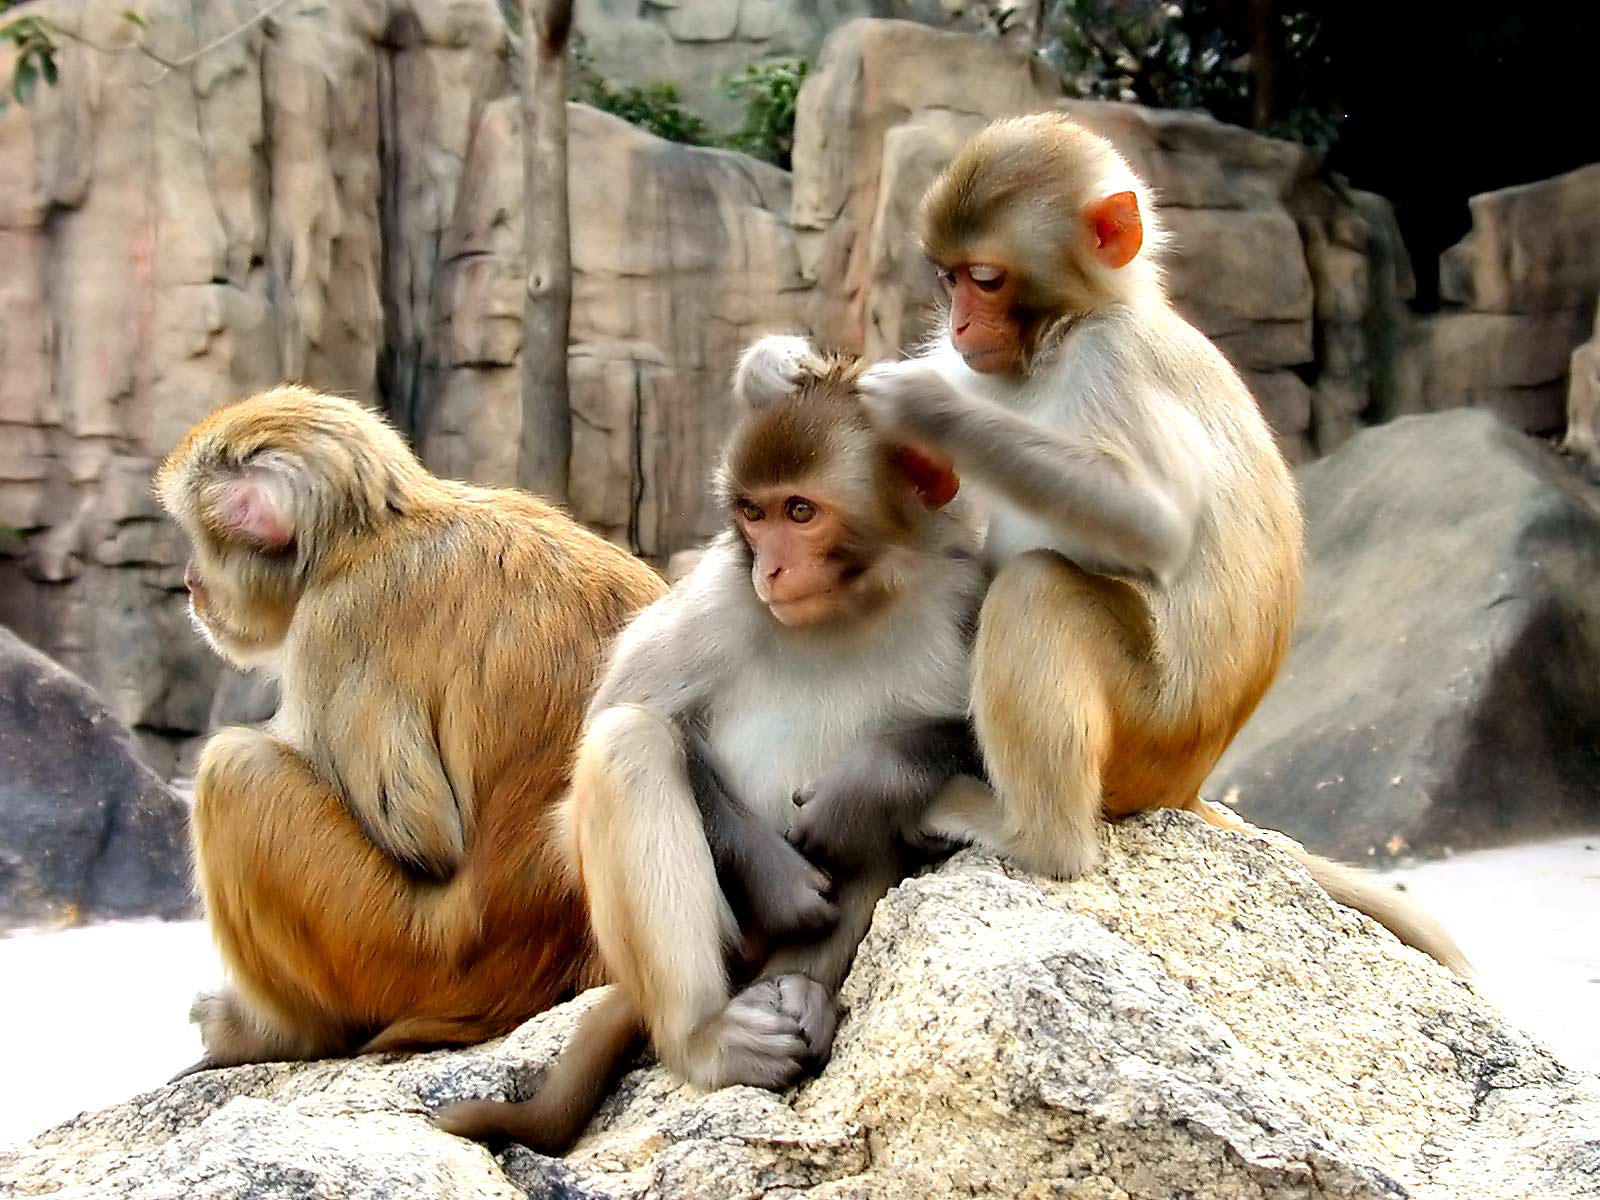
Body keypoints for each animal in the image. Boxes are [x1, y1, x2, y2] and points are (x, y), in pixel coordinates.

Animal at [153, 385, 669, 1069]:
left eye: (198, 536)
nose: (190, 582)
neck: (369, 534)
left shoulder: (335, 624)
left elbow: (422, 836)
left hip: (402, 956)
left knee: (235, 772)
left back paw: (281, 1033)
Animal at [434, 353, 989, 1151]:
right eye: (753, 514)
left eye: (800, 512)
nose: (772, 571)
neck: (855, 606)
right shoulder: (717, 598)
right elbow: (603, 750)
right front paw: (779, 880)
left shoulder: (963, 588)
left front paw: (869, 780)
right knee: (628, 744)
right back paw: (706, 1037)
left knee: (885, 826)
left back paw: (802, 991)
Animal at [733, 112, 1470, 977]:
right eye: (949, 281)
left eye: (986, 280)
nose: (960, 324)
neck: (1060, 335)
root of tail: (1185, 788)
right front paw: (779, 366)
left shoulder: (1111, 360)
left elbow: (1154, 524)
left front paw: (925, 405)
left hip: (1144, 736)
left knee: (1038, 590)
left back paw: (1032, 836)